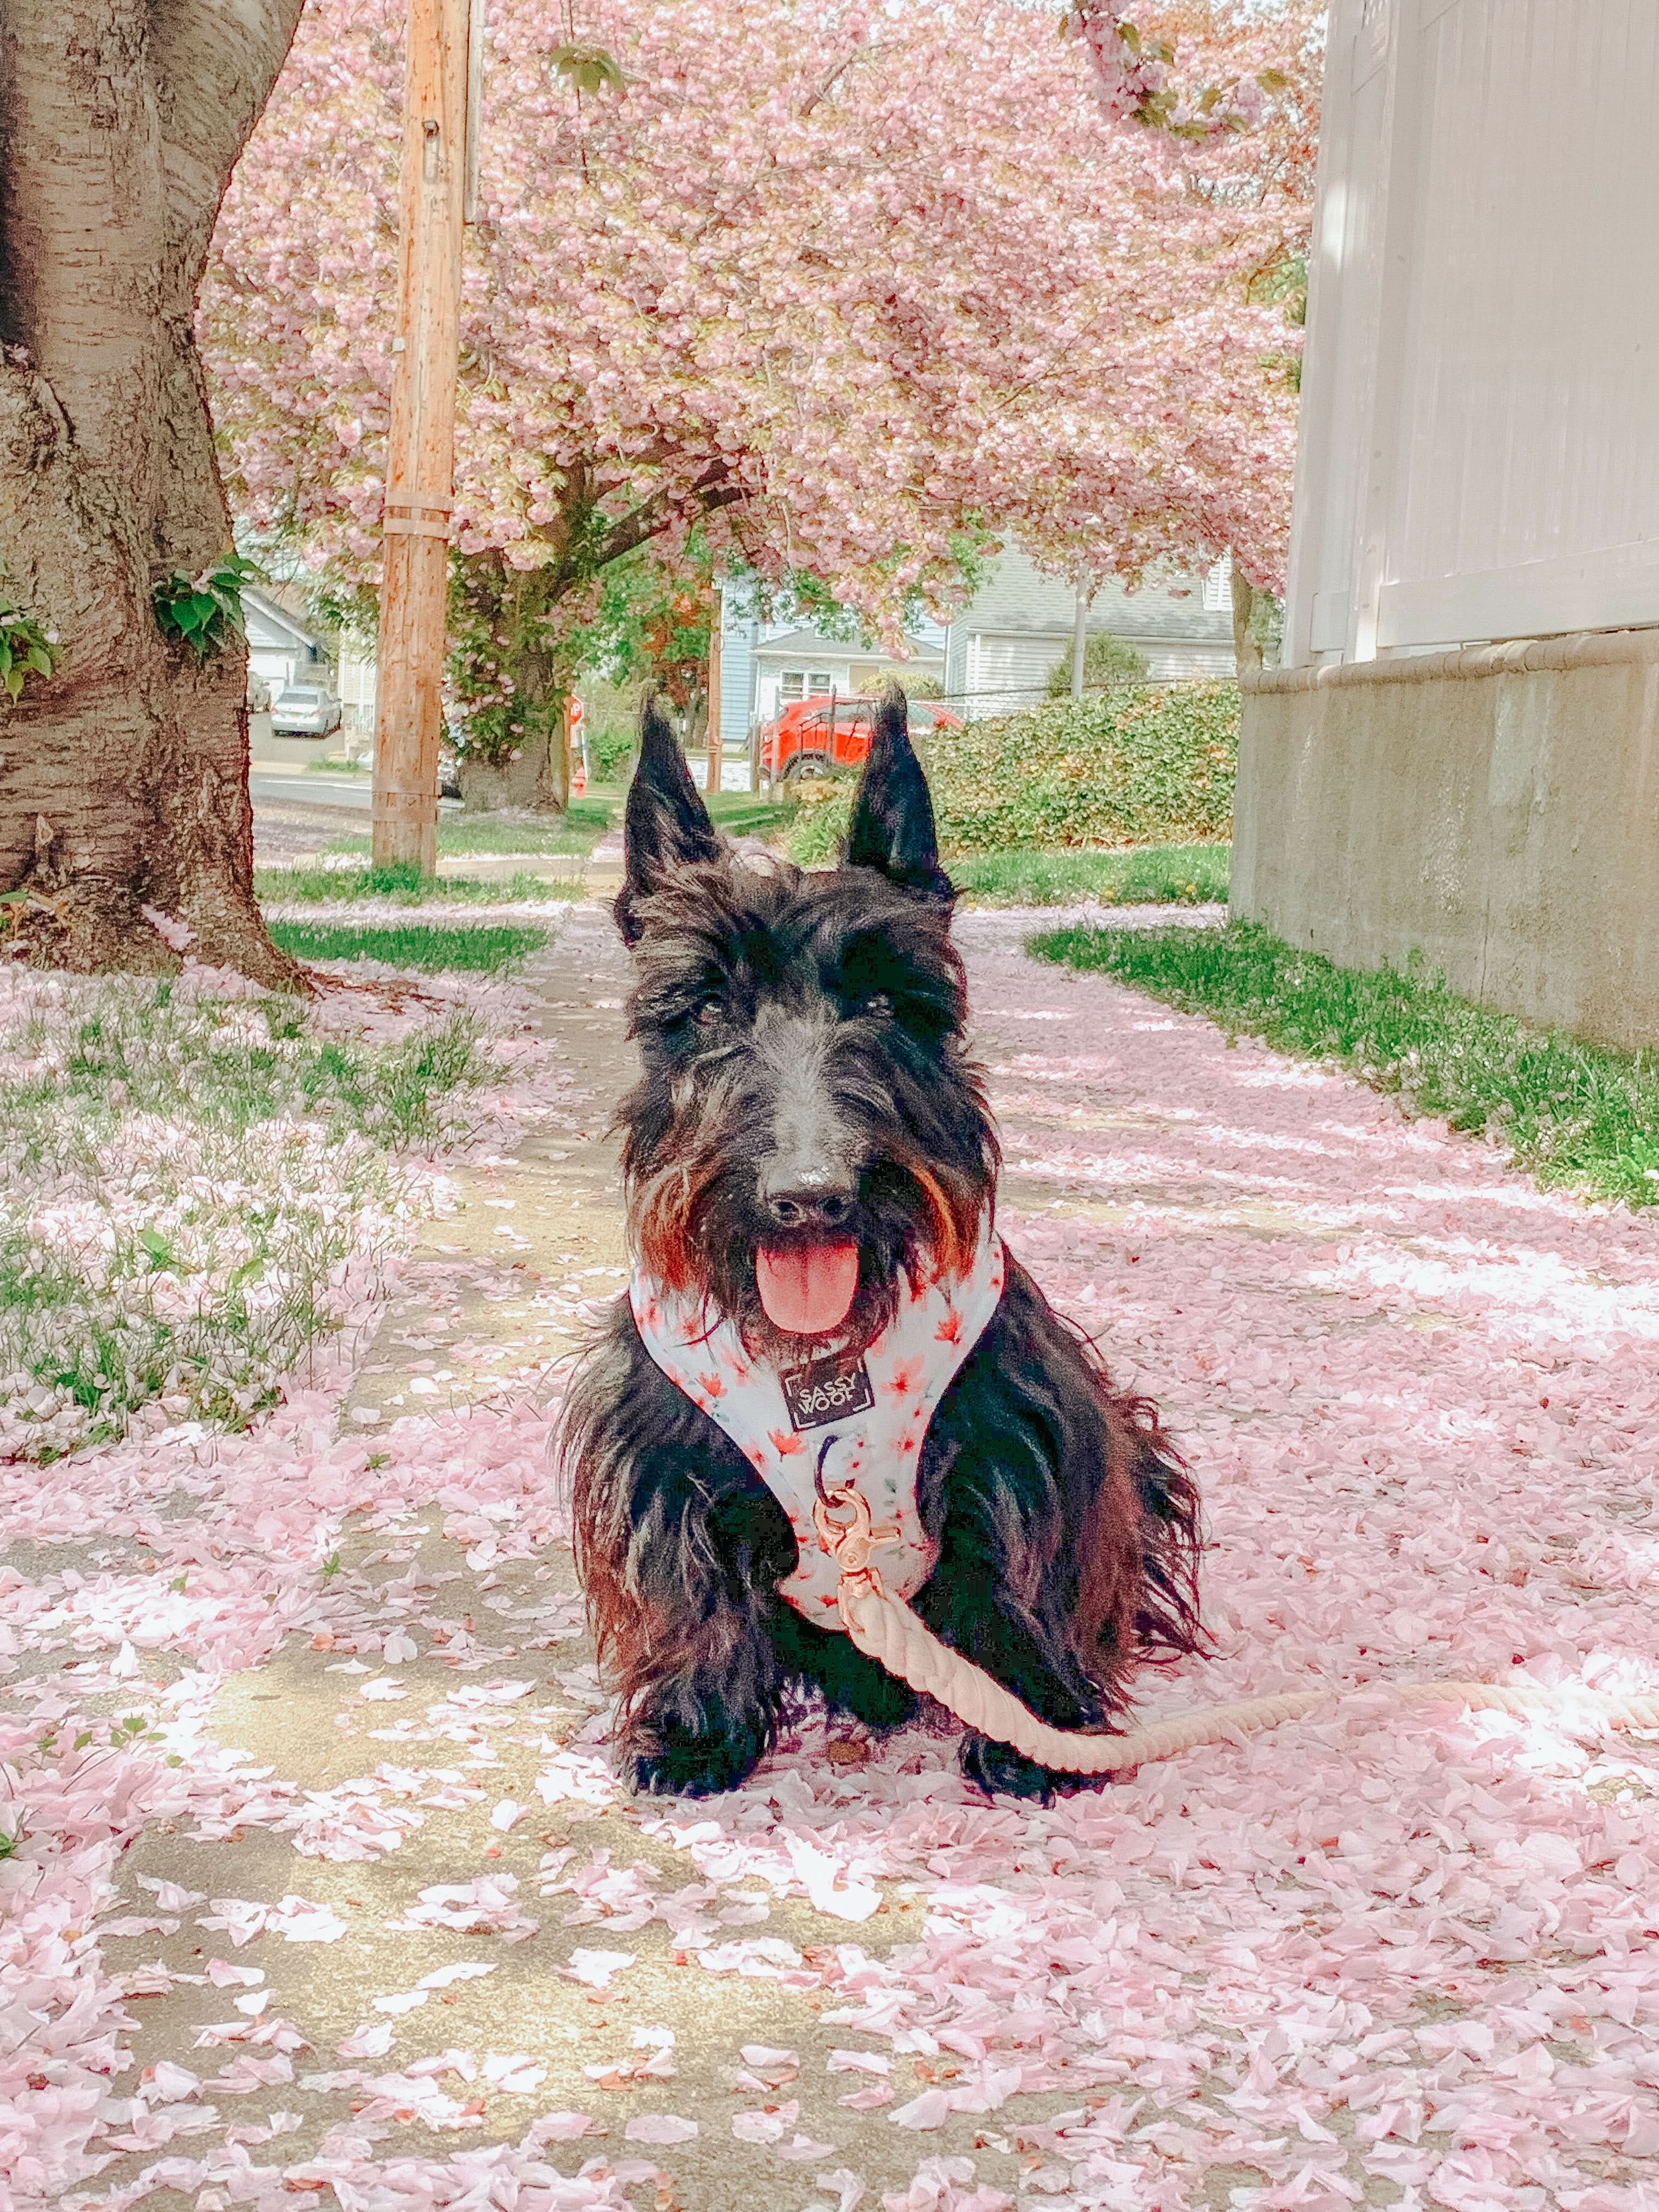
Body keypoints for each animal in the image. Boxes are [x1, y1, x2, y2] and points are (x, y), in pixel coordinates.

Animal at [560, 692, 1203, 1802]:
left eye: (883, 1001)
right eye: (707, 1004)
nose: (808, 1199)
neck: (821, 1359)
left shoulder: (1025, 1437)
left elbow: (1025, 1571)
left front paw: (1033, 1730)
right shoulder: (662, 1458)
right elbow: (689, 1590)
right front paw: (696, 1731)